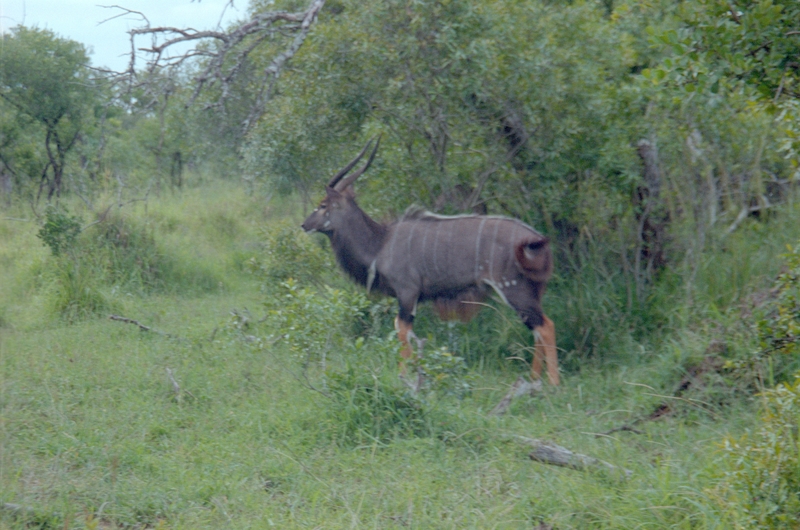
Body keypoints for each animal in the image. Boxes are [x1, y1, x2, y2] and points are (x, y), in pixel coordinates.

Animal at [304, 136, 560, 384]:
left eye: (323, 205)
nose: (304, 224)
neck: (380, 243)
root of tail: (536, 240)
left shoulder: (407, 292)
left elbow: (403, 332)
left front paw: (405, 378)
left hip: (513, 289)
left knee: (546, 326)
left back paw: (553, 385)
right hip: (525, 291)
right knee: (538, 328)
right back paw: (534, 381)